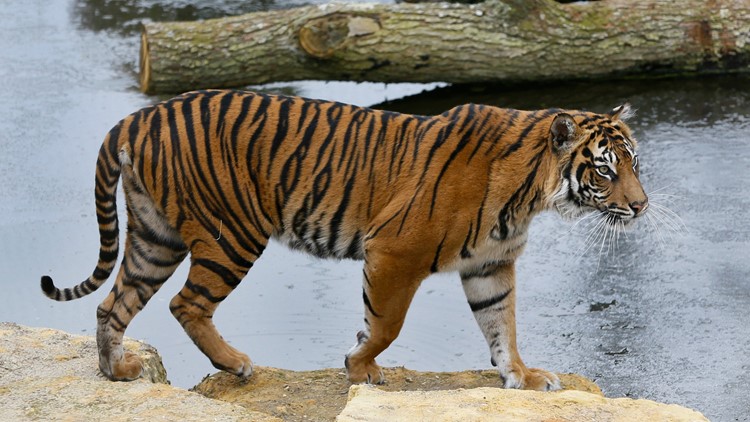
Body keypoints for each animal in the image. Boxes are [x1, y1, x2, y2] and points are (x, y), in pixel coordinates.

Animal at [41, 90, 648, 391]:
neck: (530, 194)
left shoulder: (491, 265)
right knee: (185, 304)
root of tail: (135, 117)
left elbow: (502, 324)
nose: (641, 205)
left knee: (113, 304)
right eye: (605, 170)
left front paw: (521, 375)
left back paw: (117, 372)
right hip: (230, 233)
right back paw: (236, 365)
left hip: (156, 237)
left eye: (635, 164)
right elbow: (385, 324)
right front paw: (360, 366)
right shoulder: (395, 252)